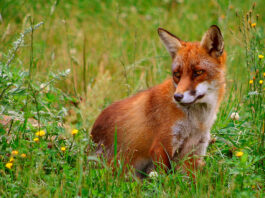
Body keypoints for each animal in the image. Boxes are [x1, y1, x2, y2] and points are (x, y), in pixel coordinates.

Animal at [90, 25, 225, 178]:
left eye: (198, 72)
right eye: (177, 75)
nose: (177, 97)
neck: (196, 122)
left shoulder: (195, 149)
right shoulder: (162, 144)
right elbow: (164, 179)